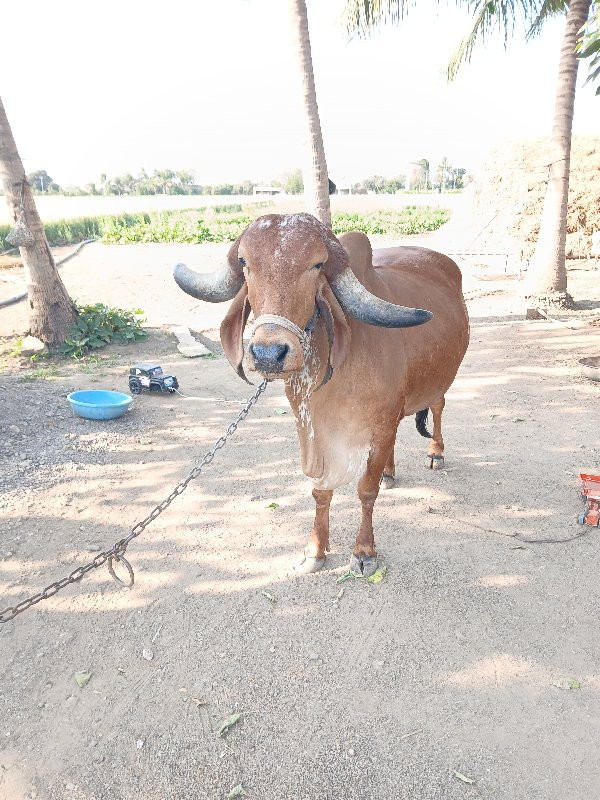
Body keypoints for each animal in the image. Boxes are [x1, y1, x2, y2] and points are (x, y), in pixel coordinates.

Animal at [173, 212, 468, 576]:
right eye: (245, 263)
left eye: (316, 265)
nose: (268, 354)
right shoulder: (313, 430)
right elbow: (321, 491)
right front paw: (315, 549)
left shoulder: (380, 424)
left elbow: (365, 490)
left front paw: (364, 552)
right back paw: (389, 471)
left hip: (441, 380)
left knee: (438, 406)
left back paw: (436, 452)